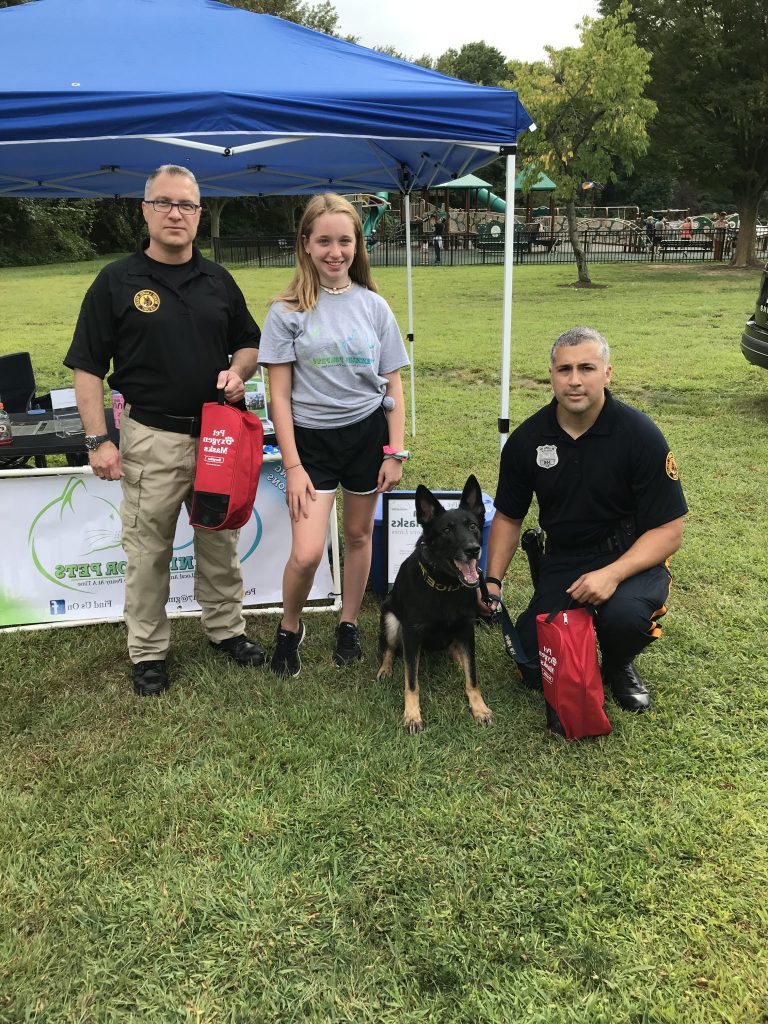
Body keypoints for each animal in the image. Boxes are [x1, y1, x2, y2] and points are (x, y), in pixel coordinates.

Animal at [376, 475, 493, 733]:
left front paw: (479, 708)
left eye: (473, 526)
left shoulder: (467, 629)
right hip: (391, 620)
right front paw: (412, 715)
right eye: (447, 530)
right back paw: (386, 669)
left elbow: (473, 676)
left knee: (457, 652)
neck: (444, 586)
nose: (473, 550)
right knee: (389, 649)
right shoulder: (410, 634)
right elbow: (411, 682)